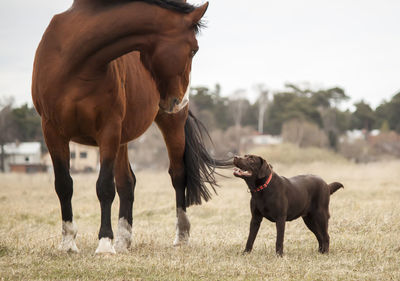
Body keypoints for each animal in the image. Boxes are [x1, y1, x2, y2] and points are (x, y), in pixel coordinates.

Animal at [32, 0, 227, 254]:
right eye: (194, 49)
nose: (181, 99)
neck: (75, 61)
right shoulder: (52, 131)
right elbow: (64, 184)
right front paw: (68, 243)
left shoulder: (108, 130)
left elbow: (105, 187)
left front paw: (105, 243)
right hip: (122, 139)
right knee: (127, 183)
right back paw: (124, 239)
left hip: (169, 124)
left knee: (178, 175)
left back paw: (181, 235)